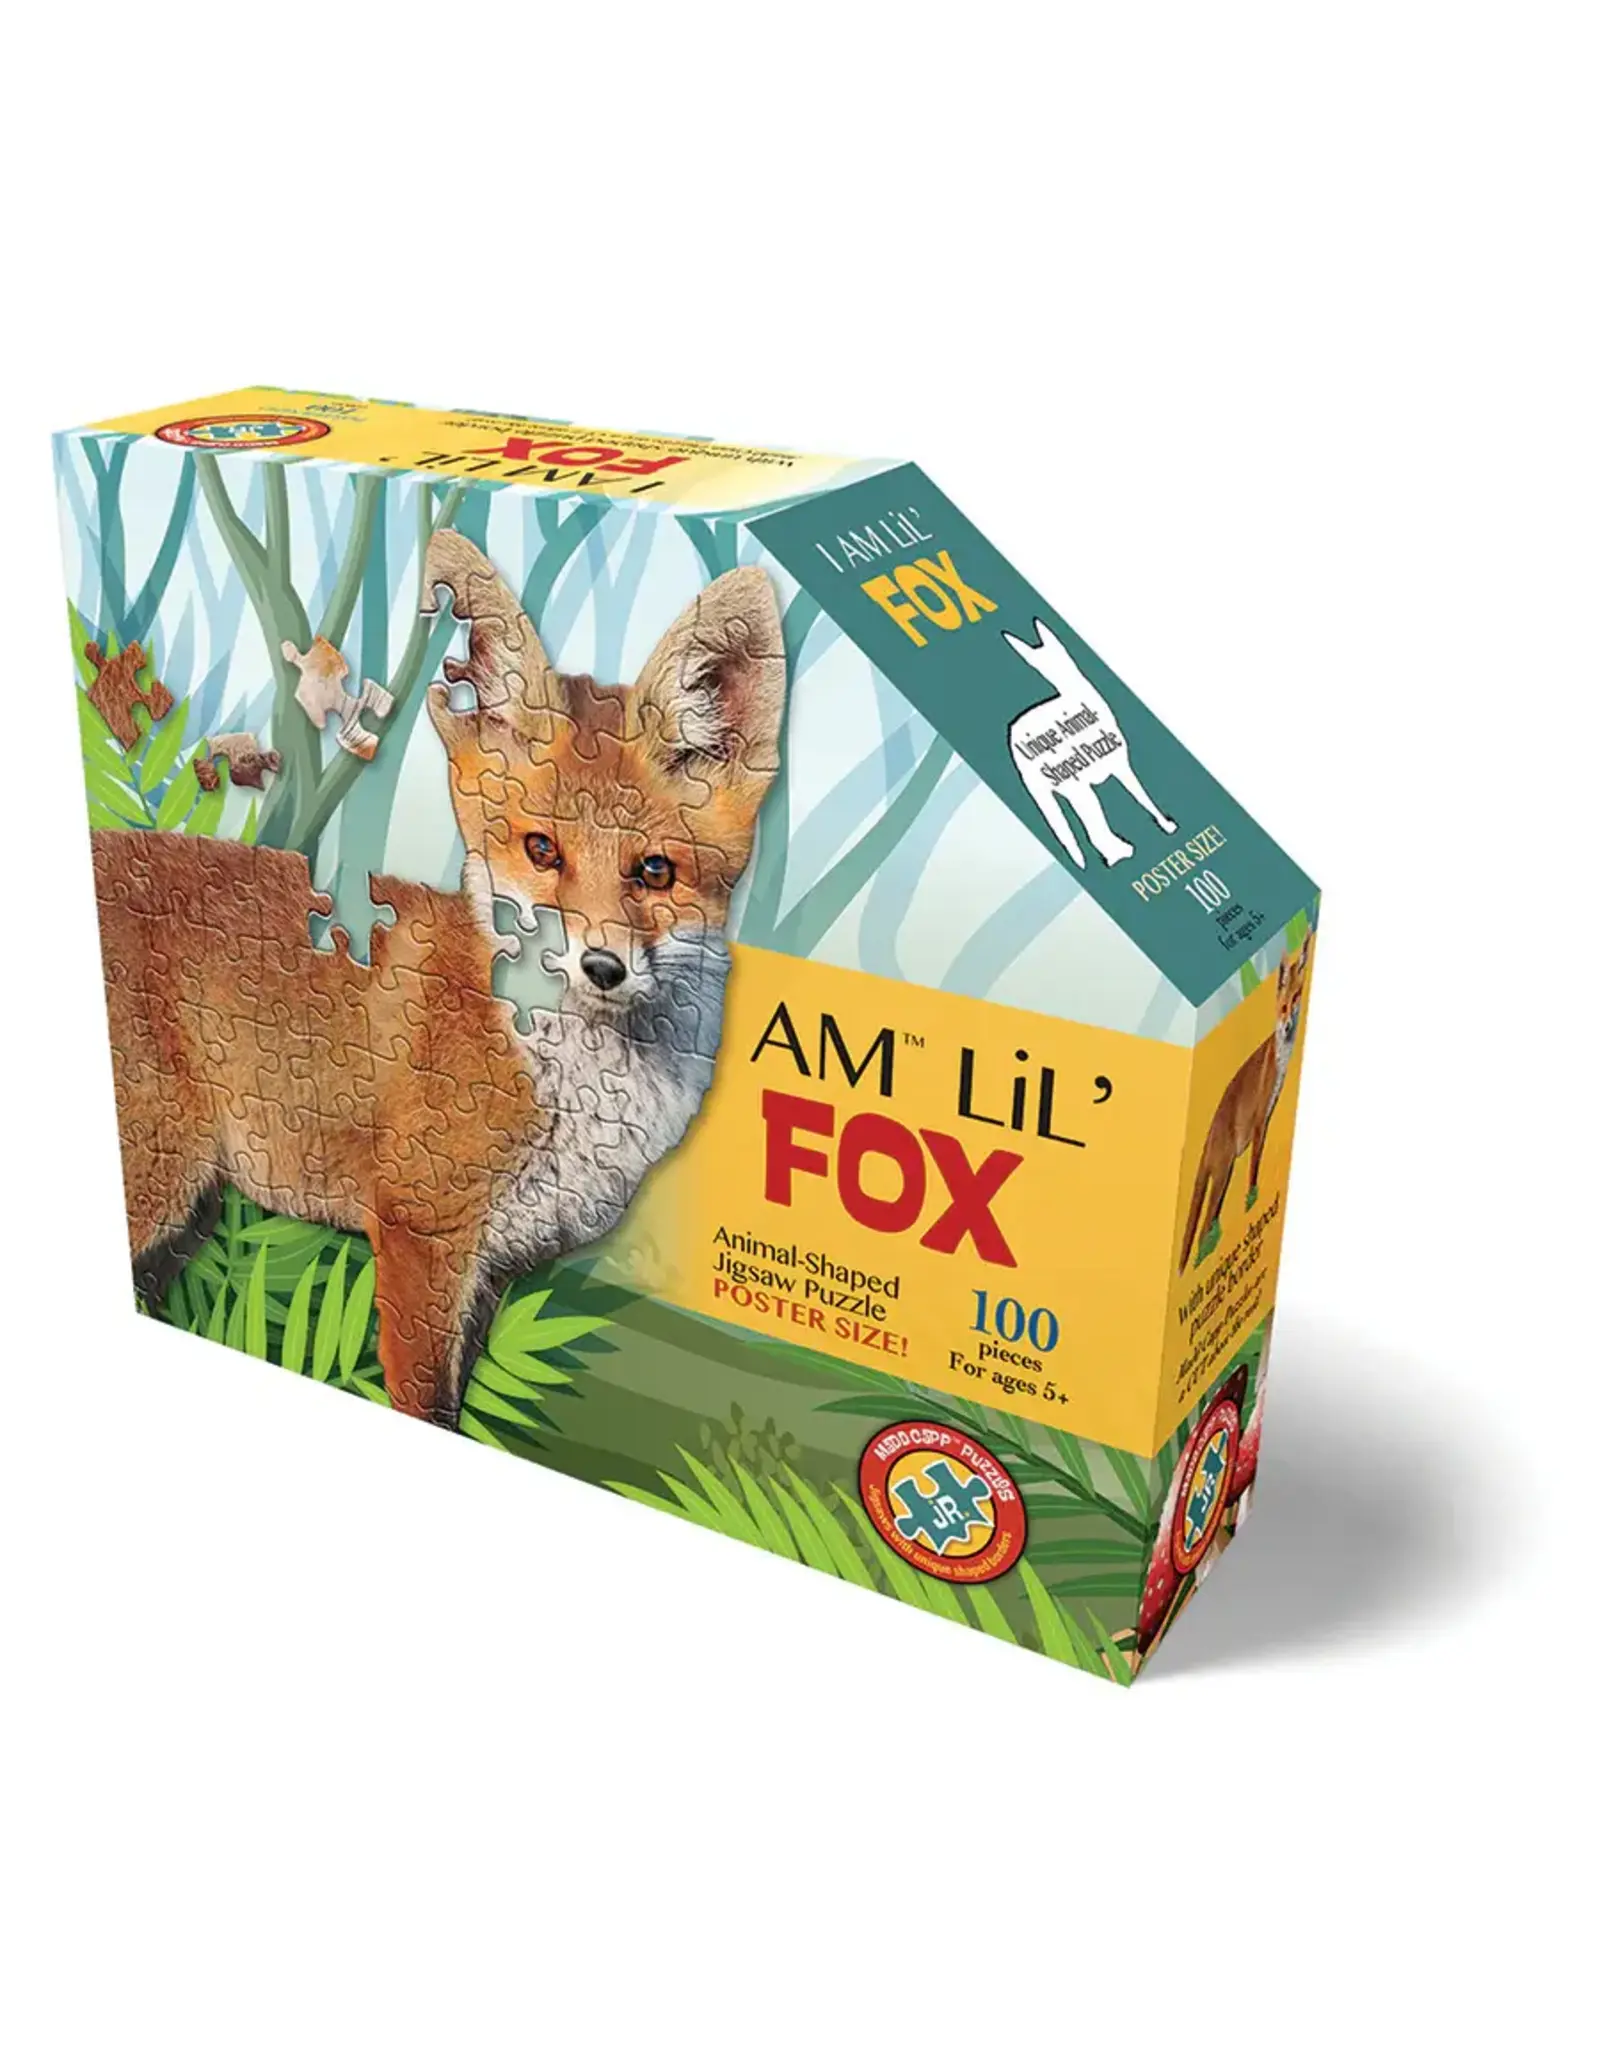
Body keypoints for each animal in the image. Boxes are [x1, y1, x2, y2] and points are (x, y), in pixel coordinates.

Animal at [93, 530, 787, 1428]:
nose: (601, 967)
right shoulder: (422, 1236)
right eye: (540, 850)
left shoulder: (493, 1268)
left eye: (656, 871)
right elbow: (422, 1404)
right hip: (158, 1184)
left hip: (186, 1213)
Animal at [1178, 935, 1312, 1273]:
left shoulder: (1268, 1117)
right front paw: (1251, 1197)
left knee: (1208, 1224)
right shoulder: (1260, 1120)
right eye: (1282, 1005)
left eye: (1297, 997)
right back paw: (1199, 1262)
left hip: (1222, 1175)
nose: (1287, 1024)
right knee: (1202, 1230)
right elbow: (1254, 1168)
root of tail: (1207, 1137)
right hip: (1223, 1171)